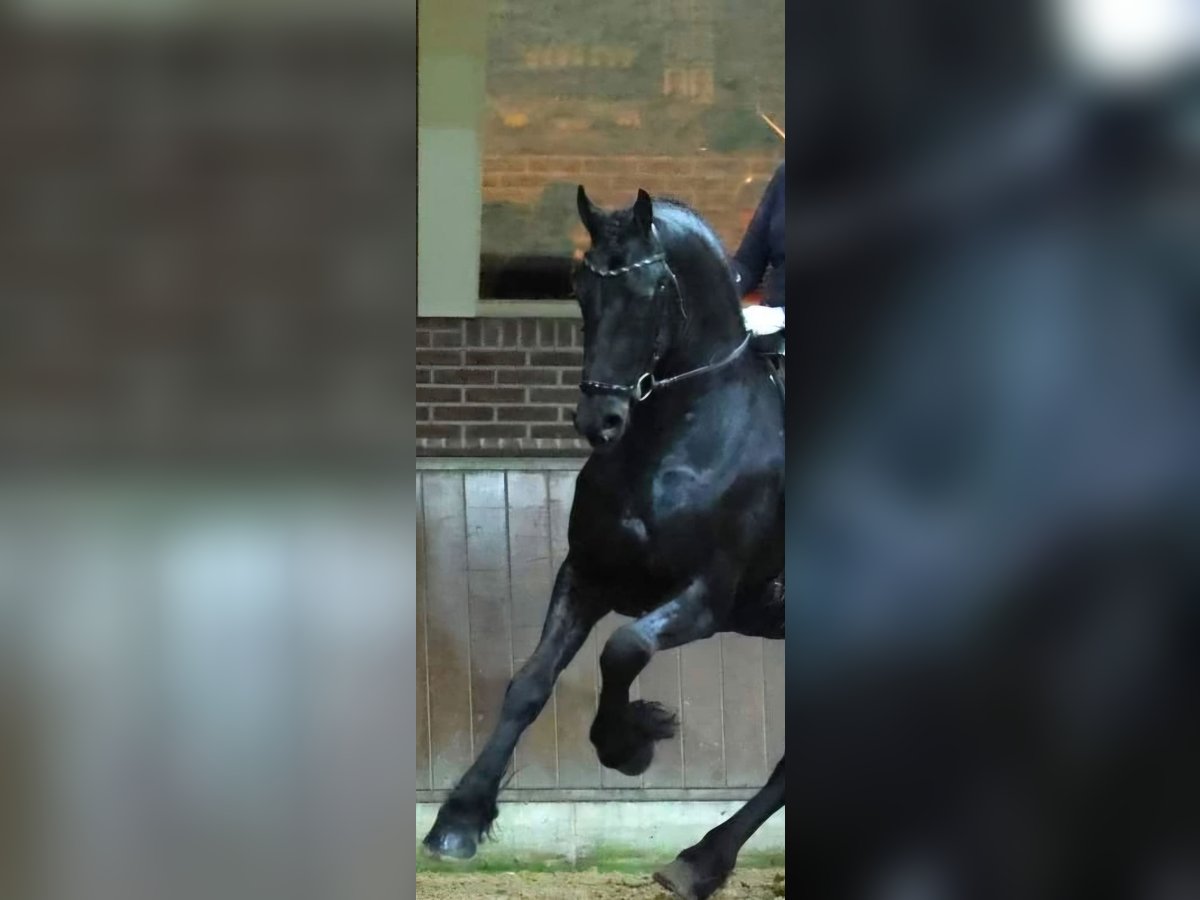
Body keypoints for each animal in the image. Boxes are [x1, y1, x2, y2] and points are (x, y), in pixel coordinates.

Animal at [422, 185, 786, 900]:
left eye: (650, 292)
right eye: (581, 289)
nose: (601, 421)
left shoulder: (707, 598)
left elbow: (623, 650)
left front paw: (633, 742)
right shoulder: (586, 575)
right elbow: (530, 683)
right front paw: (458, 821)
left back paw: (699, 859)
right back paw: (699, 861)